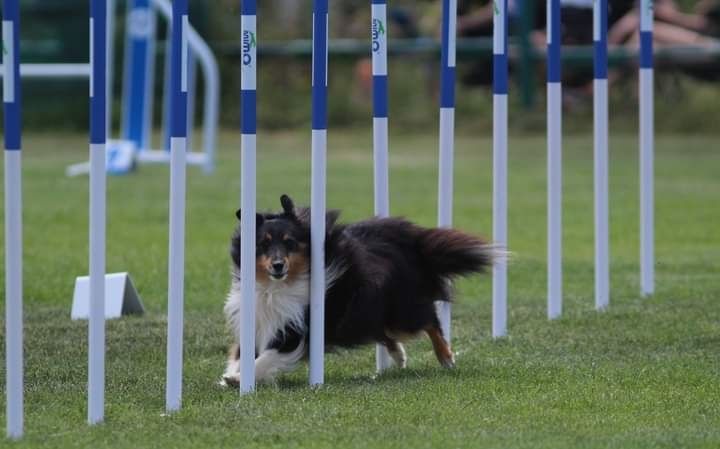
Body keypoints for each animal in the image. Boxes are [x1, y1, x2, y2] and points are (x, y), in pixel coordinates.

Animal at [222, 195, 501, 386]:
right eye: (262, 244)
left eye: (289, 242)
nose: (278, 265)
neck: (276, 286)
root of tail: (408, 241)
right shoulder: (258, 321)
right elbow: (239, 353)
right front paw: (232, 373)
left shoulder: (295, 329)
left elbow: (267, 357)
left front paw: (238, 379)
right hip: (368, 310)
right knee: (387, 332)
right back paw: (398, 356)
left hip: (401, 311)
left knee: (430, 320)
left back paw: (445, 357)